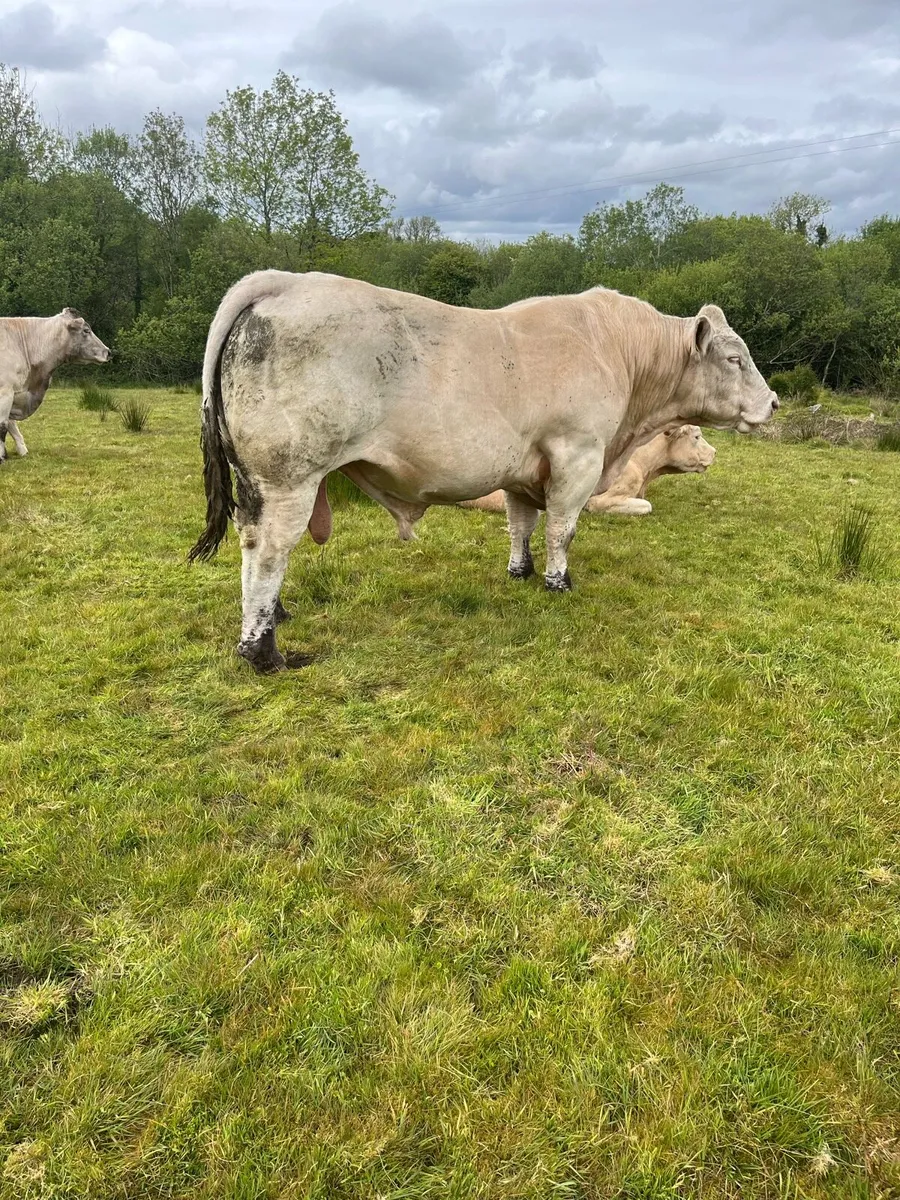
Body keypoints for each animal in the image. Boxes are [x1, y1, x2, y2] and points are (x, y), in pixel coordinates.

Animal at [0, 309, 111, 462]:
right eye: (86, 330)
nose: (108, 352)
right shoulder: (6, 391)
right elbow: (3, 425)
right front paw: (2, 457)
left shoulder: (13, 393)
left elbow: (12, 425)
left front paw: (21, 450)